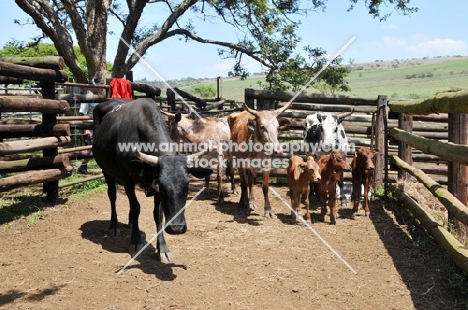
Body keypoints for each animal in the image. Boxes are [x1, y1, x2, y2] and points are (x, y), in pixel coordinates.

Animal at [93, 97, 212, 262]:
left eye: (187, 185)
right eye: (162, 186)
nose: (177, 228)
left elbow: (158, 214)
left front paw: (162, 248)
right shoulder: (127, 179)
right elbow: (135, 207)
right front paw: (136, 241)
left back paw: (130, 223)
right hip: (106, 171)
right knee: (112, 195)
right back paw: (114, 226)